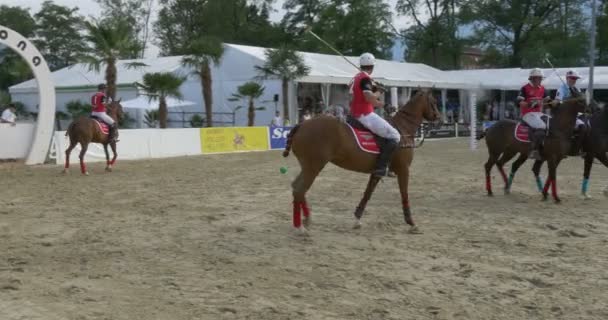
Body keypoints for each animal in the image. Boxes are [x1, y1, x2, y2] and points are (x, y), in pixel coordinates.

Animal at [282, 89, 440, 234]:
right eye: (433, 101)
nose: (440, 119)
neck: (403, 129)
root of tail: (301, 125)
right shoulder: (403, 169)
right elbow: (404, 194)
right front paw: (412, 223)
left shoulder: (377, 171)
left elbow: (367, 194)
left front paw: (357, 220)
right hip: (314, 166)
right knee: (300, 189)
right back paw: (300, 227)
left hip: (307, 166)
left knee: (296, 187)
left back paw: (306, 220)